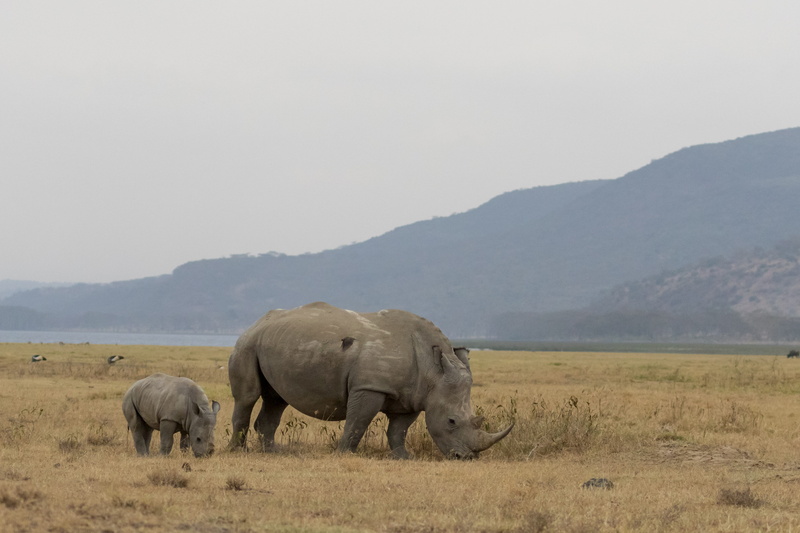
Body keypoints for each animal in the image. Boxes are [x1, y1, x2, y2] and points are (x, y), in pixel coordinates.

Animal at [228, 302, 513, 459]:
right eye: (452, 421)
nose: (466, 458)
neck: (434, 371)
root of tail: (257, 322)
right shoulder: (370, 387)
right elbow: (358, 422)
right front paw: (344, 454)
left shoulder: (412, 395)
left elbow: (398, 429)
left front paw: (404, 457)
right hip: (247, 344)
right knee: (248, 396)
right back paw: (237, 452)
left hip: (274, 343)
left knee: (277, 399)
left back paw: (273, 452)